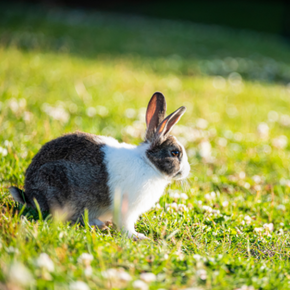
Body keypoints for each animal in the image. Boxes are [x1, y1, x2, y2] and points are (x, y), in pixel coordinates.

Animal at [9, 92, 190, 239]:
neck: (148, 162)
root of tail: (29, 194)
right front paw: (137, 236)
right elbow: (126, 225)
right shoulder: (127, 209)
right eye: (175, 153)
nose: (187, 171)